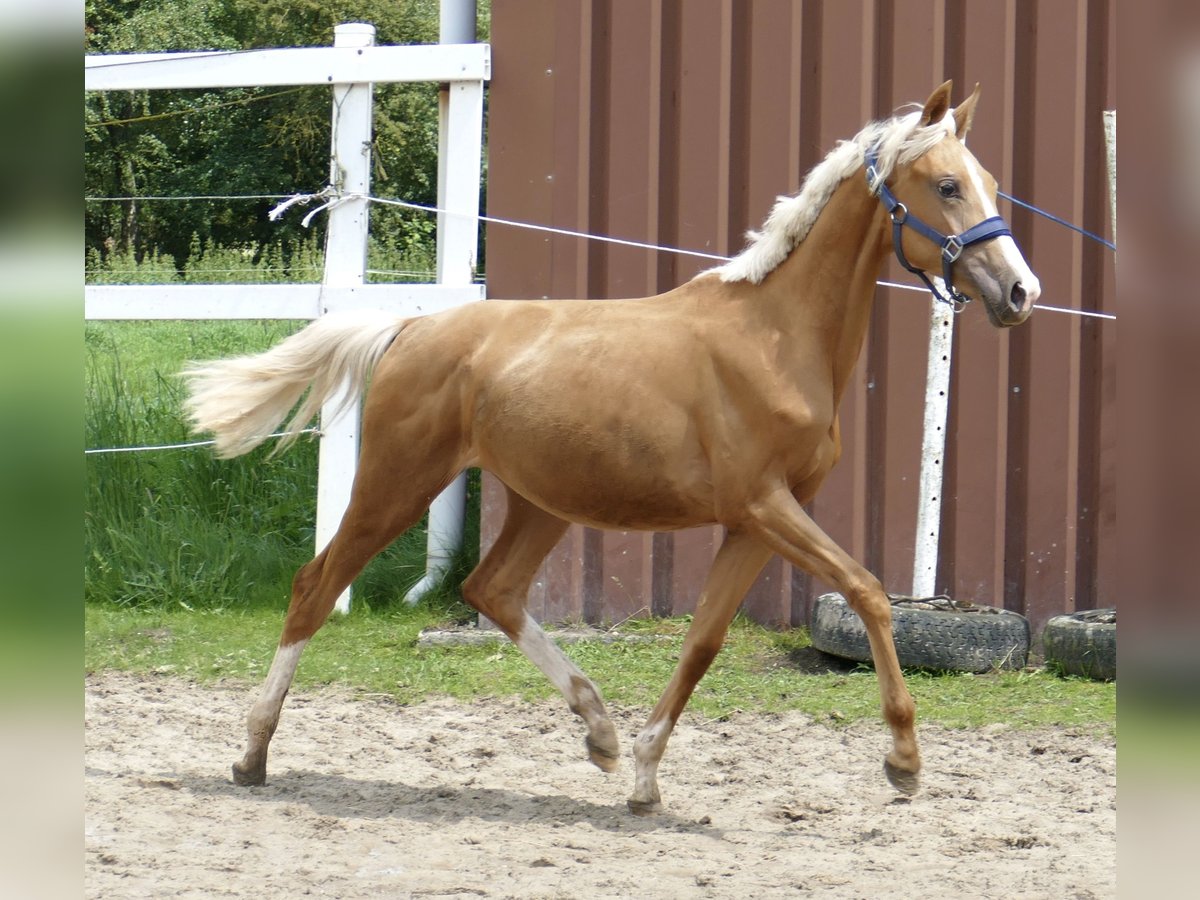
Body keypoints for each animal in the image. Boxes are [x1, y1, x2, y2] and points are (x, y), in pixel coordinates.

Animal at [187, 82, 1041, 816]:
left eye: (990, 181)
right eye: (946, 185)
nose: (1020, 293)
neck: (774, 337)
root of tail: (411, 328)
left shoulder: (757, 521)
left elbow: (702, 642)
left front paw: (644, 778)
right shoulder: (765, 504)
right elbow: (867, 592)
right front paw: (904, 761)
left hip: (541, 502)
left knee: (491, 589)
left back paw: (598, 730)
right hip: (398, 481)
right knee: (316, 586)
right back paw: (252, 756)